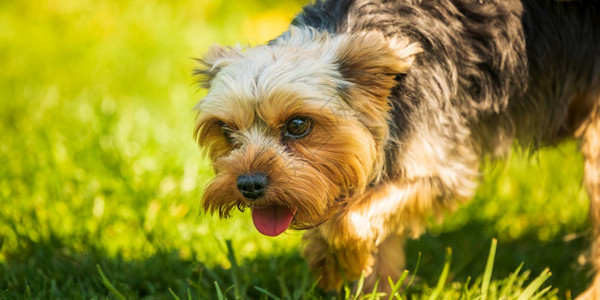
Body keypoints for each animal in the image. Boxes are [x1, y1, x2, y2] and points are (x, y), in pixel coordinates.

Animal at [193, 0, 600, 296]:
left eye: (297, 125)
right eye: (226, 130)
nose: (248, 185)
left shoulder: (442, 166)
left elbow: (348, 221)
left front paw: (334, 261)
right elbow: (370, 226)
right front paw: (367, 281)